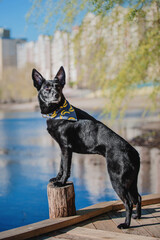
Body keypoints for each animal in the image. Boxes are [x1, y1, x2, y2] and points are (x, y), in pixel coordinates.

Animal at [32, 66, 141, 229]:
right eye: (47, 88)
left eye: (59, 87)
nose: (57, 95)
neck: (57, 112)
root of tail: (134, 153)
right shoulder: (62, 148)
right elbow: (61, 166)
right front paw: (57, 178)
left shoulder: (66, 147)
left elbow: (66, 168)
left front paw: (61, 182)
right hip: (131, 181)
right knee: (138, 198)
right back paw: (137, 217)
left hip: (118, 180)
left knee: (128, 202)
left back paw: (126, 224)